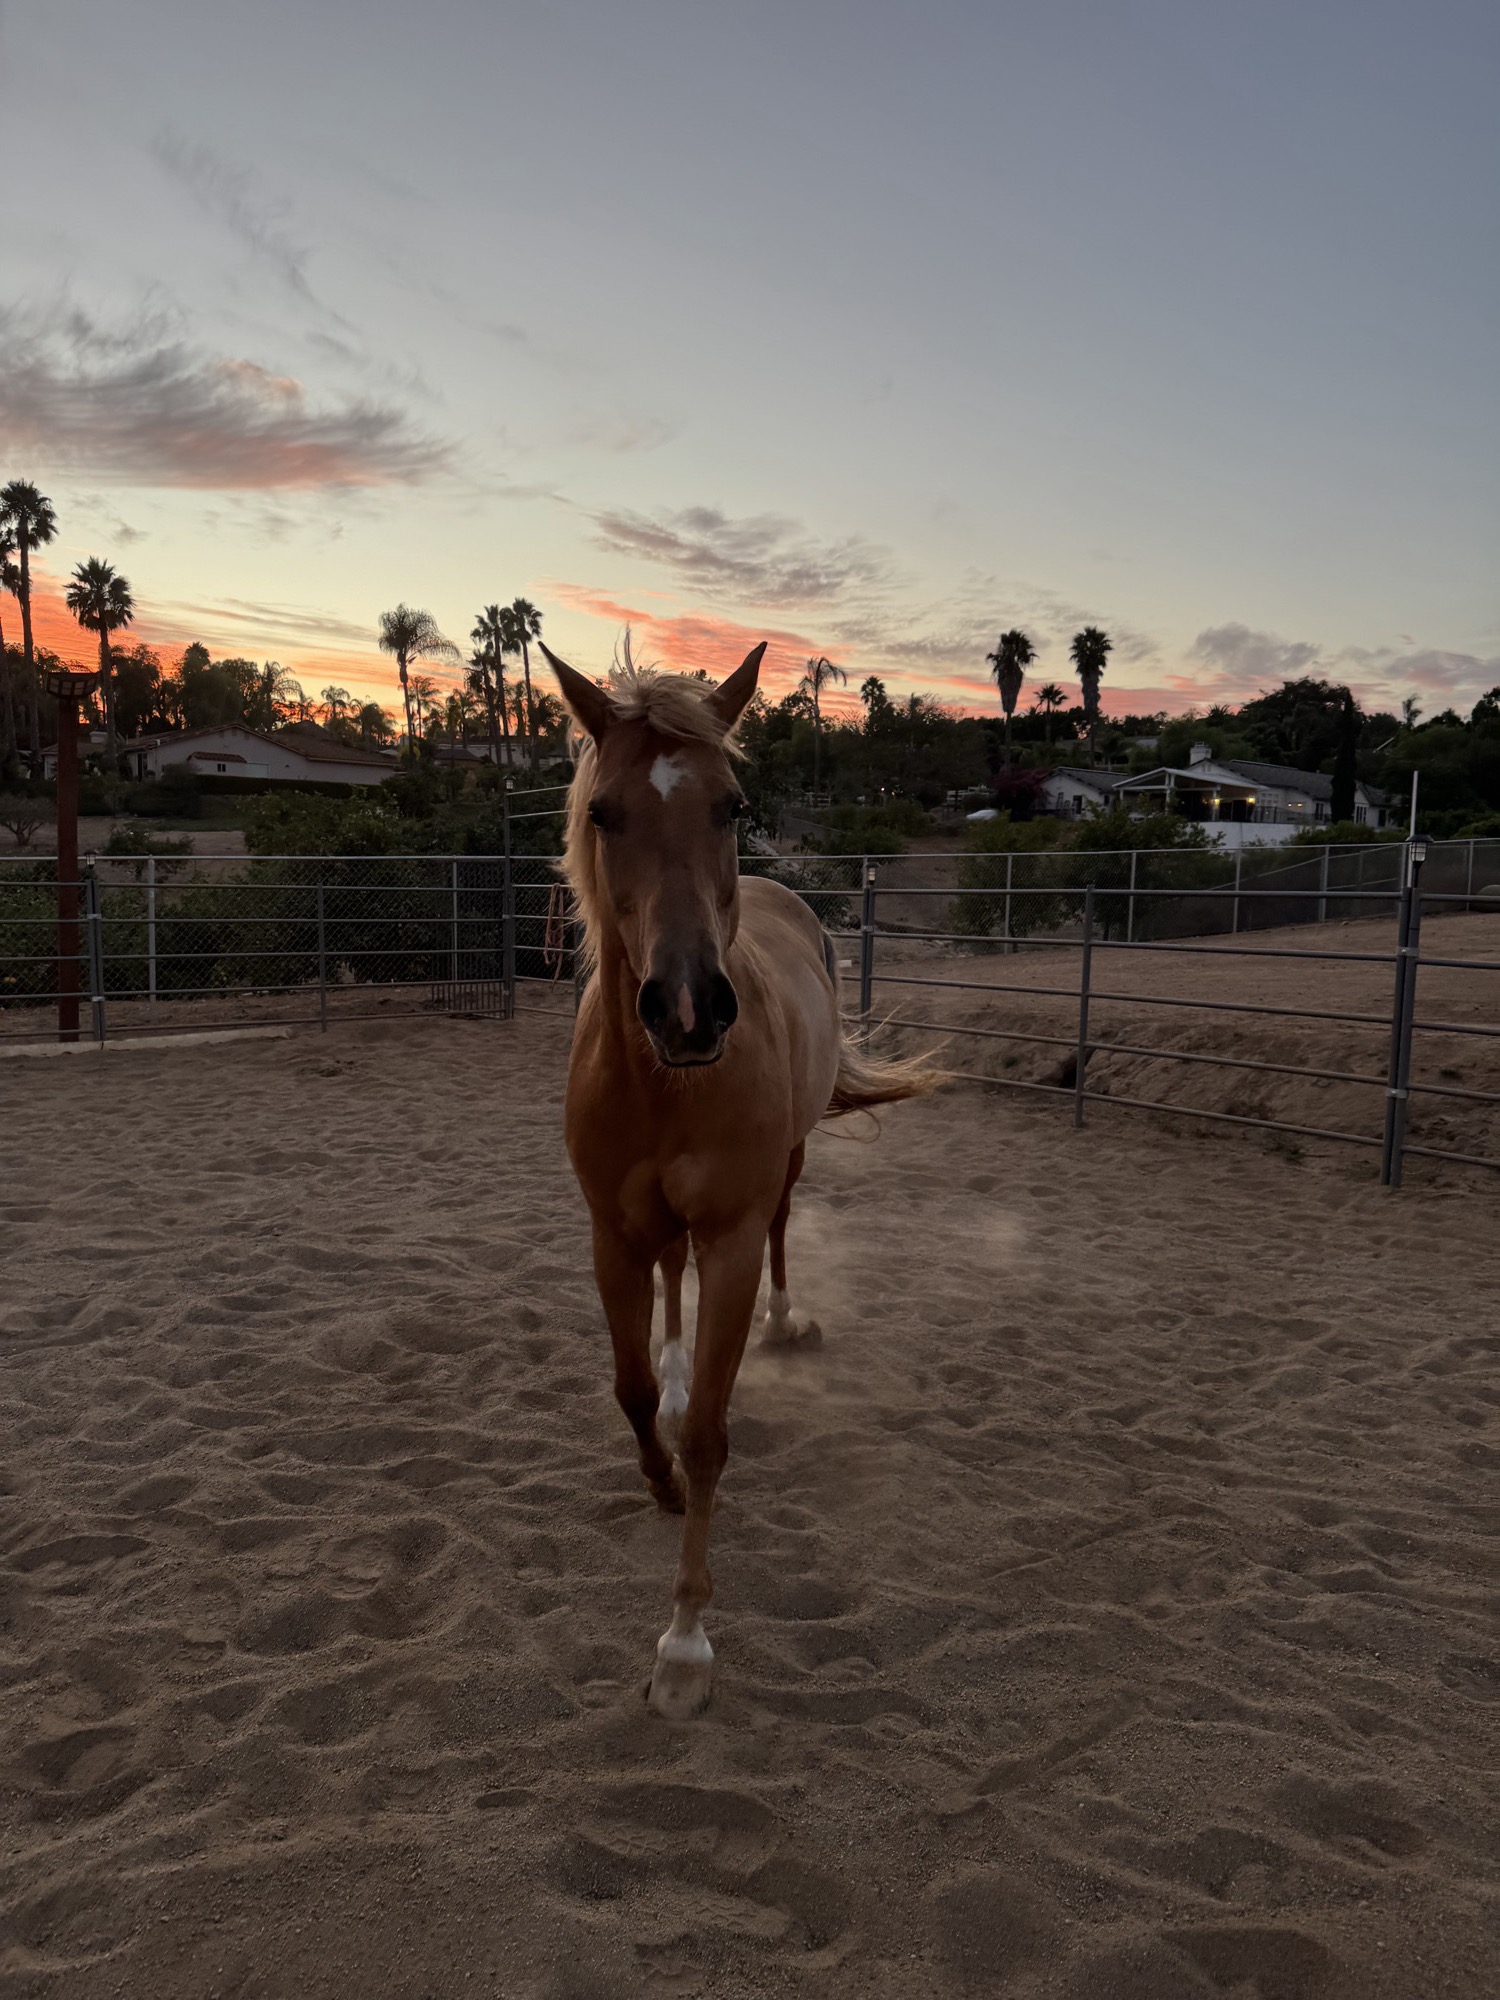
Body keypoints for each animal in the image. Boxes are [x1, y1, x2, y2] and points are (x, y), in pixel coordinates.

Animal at [541, 638, 932, 1717]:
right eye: (604, 813)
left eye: (733, 805)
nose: (687, 1007)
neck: (663, 1081)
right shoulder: (611, 1236)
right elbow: (633, 1389)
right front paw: (659, 1473)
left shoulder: (728, 1237)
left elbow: (713, 1435)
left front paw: (684, 1640)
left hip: (784, 1174)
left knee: (787, 1229)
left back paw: (787, 1320)